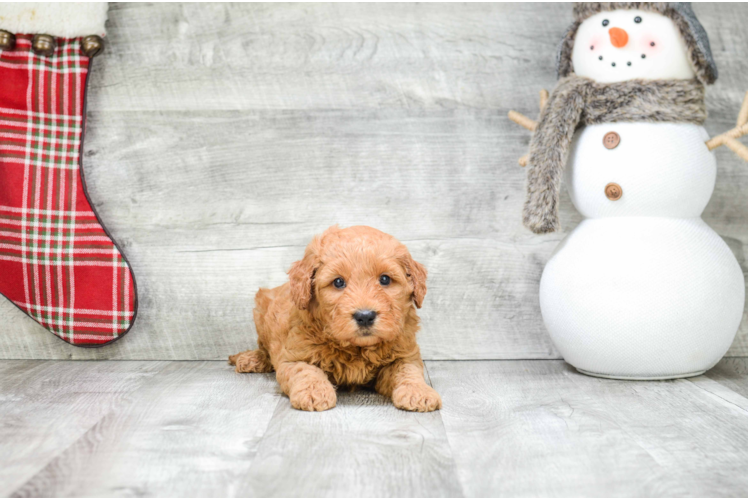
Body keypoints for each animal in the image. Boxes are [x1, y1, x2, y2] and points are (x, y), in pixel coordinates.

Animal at [226, 225, 438, 412]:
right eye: (338, 282)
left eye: (385, 279)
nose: (365, 316)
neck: (355, 348)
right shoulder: (293, 357)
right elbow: (305, 371)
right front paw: (314, 393)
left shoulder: (406, 354)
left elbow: (408, 371)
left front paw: (419, 392)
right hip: (261, 313)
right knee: (264, 348)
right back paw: (252, 359)